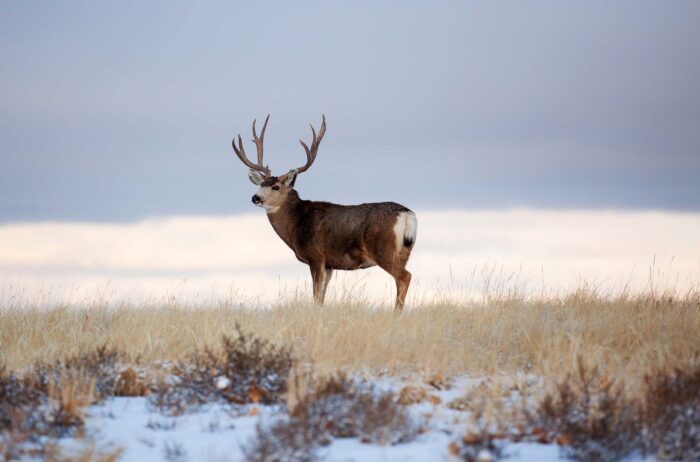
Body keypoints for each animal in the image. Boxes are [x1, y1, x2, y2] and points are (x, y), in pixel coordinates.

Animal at [231, 114, 417, 311]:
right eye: (261, 184)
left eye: (275, 187)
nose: (255, 198)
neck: (297, 224)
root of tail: (406, 213)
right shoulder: (329, 265)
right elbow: (321, 298)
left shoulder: (316, 257)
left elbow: (316, 297)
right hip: (405, 251)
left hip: (384, 250)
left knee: (405, 277)